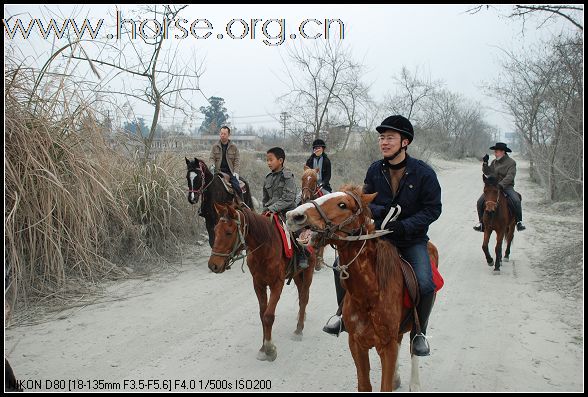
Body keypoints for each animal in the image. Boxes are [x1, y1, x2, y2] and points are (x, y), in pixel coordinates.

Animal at [208, 203, 316, 360]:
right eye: (215, 230)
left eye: (228, 232)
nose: (213, 265)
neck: (265, 247)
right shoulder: (258, 284)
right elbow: (262, 314)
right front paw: (263, 347)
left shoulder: (277, 284)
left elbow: (268, 316)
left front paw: (270, 349)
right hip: (296, 274)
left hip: (308, 271)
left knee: (304, 298)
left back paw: (298, 330)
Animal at [288, 186, 438, 390]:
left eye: (342, 205)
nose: (294, 215)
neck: (369, 294)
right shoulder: (356, 343)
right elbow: (364, 385)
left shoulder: (387, 347)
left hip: (419, 320)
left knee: (415, 342)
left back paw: (414, 384)